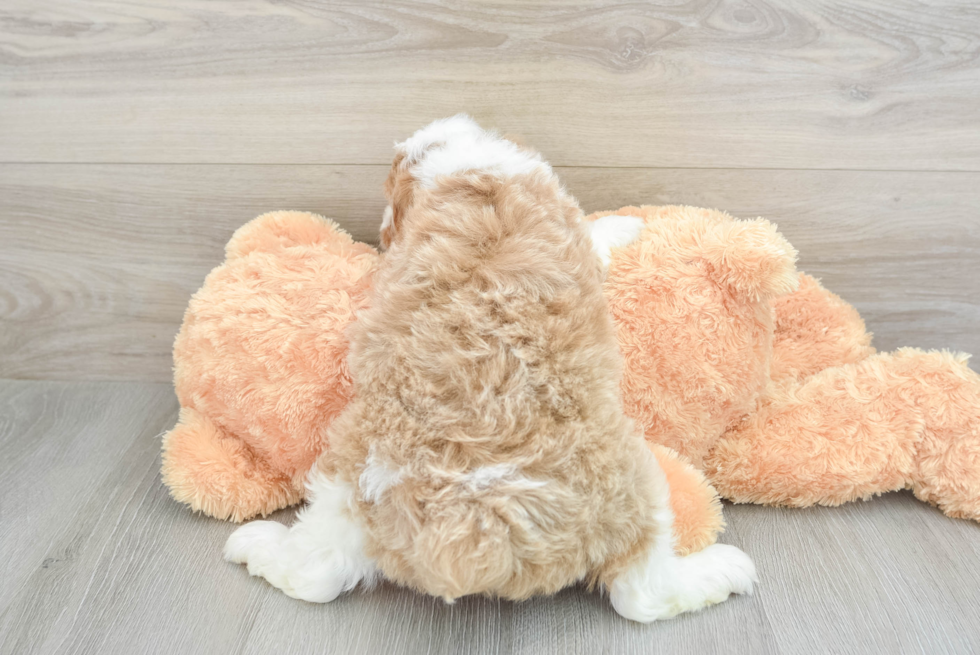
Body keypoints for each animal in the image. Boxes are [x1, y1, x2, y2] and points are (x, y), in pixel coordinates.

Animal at [224, 115, 756, 624]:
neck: (468, 166)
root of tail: (472, 521)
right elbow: (596, 234)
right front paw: (623, 225)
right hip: (637, 485)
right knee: (642, 594)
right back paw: (722, 571)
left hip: (345, 486)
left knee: (314, 574)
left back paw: (252, 547)